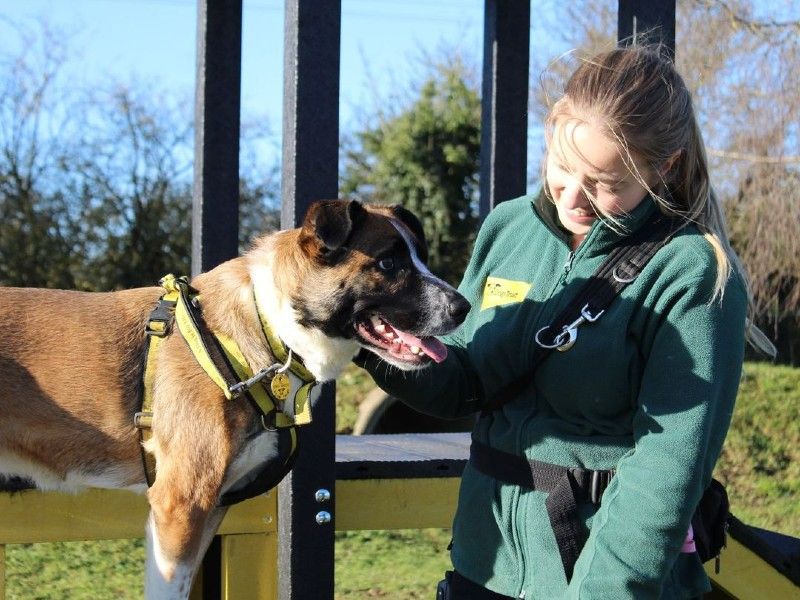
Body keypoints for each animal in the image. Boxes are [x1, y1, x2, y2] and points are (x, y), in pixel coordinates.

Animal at [0, 199, 472, 596]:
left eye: (421, 257)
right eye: (388, 263)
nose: (464, 307)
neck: (267, 323)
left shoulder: (204, 511)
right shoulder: (180, 506)